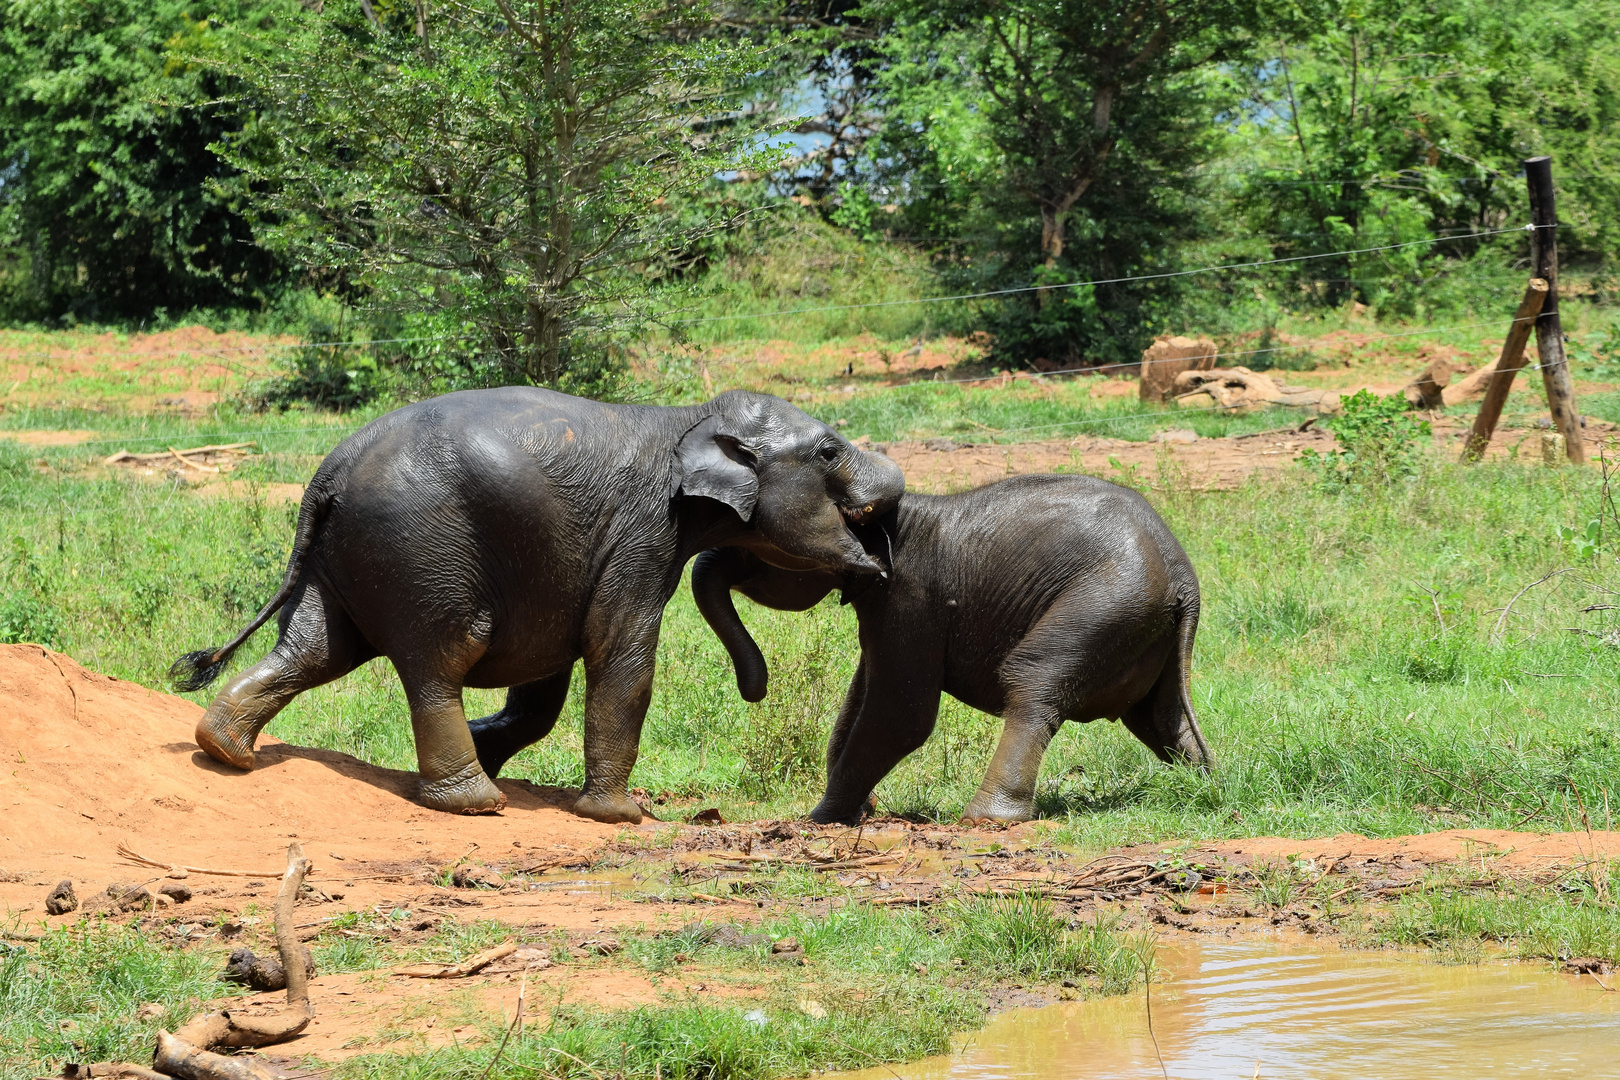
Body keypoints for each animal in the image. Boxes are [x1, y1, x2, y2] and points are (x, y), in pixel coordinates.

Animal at [170, 388, 907, 819]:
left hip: (345, 555)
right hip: (418, 547)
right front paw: (620, 816)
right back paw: (475, 802)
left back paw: (225, 751)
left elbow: (544, 681)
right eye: (829, 451)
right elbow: (621, 653)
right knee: (442, 656)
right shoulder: (644, 532)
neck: (687, 417)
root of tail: (327, 474)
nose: (879, 564)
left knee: (316, 649)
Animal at [690, 476, 1211, 829]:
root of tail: (1183, 575)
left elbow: (901, 714)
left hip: (1106, 602)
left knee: (1032, 681)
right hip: (1144, 627)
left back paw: (987, 819)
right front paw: (856, 812)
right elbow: (863, 696)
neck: (882, 513)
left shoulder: (911, 595)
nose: (754, 688)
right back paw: (1203, 784)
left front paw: (820, 821)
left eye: (757, 542)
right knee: (1158, 717)